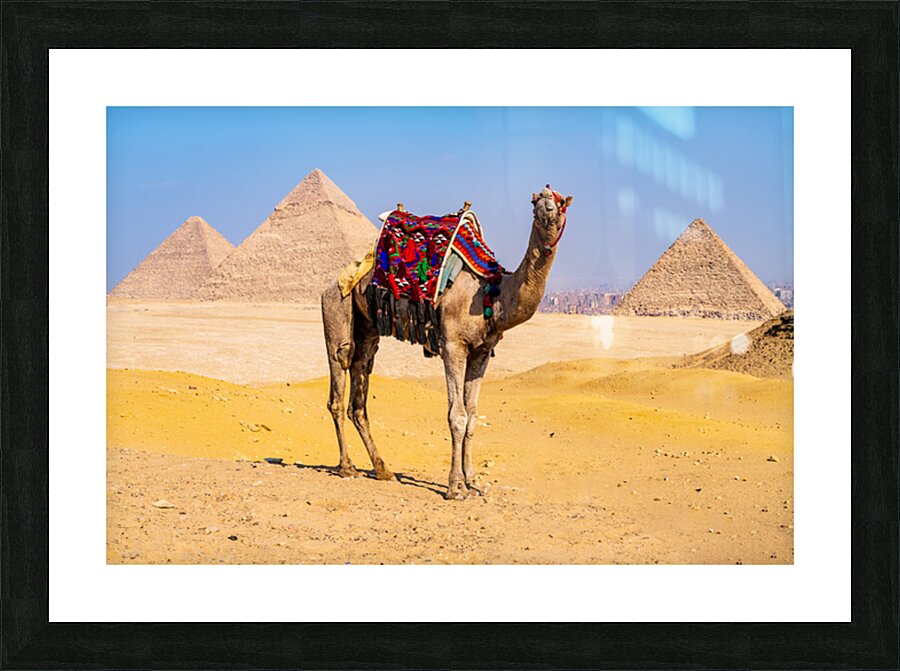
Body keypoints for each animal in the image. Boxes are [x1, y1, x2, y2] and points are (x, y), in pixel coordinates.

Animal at [320, 185, 572, 499]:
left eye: (561, 202)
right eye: (535, 200)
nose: (546, 209)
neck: (492, 293)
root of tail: (336, 279)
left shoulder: (481, 353)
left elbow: (473, 417)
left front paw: (472, 481)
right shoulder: (452, 345)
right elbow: (457, 416)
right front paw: (455, 487)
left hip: (368, 328)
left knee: (359, 391)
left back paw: (383, 469)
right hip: (336, 305)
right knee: (339, 373)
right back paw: (346, 467)